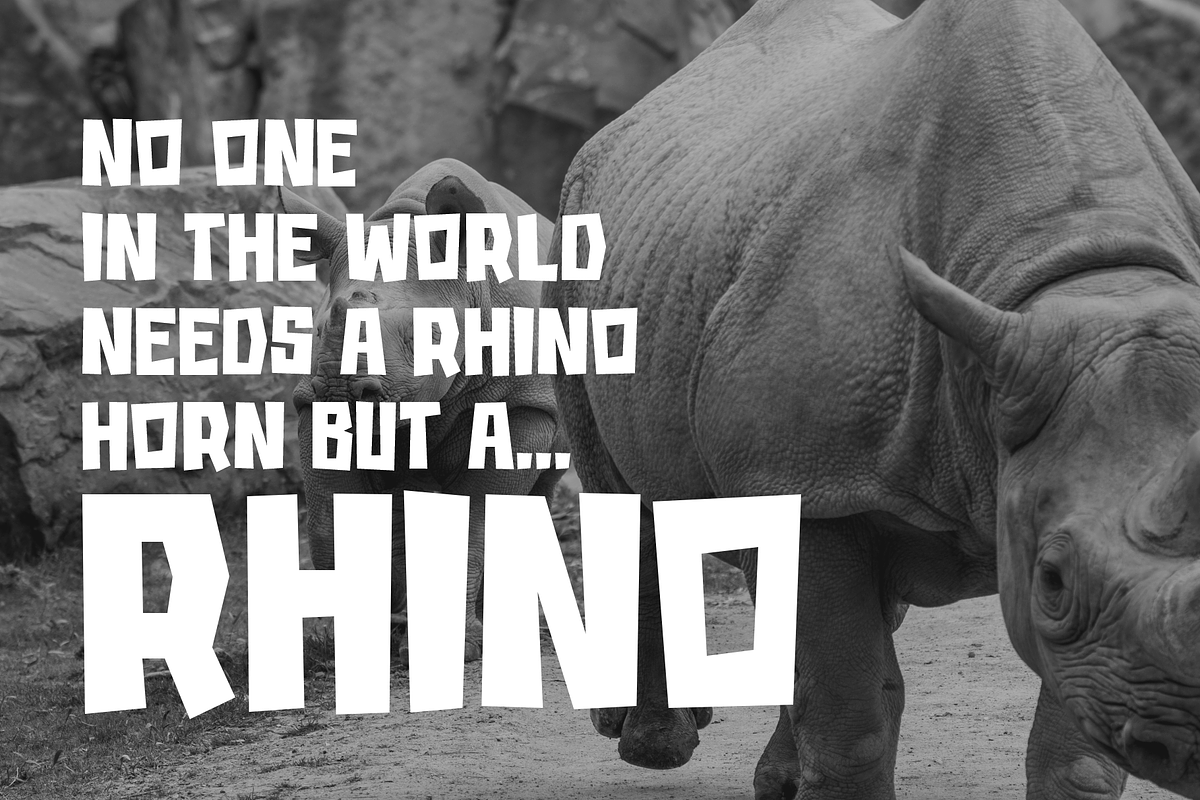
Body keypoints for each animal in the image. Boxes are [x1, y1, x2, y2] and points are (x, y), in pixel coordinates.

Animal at [282, 158, 566, 664]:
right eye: (316, 330)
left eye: (423, 336)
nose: (339, 392)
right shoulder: (311, 403)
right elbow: (328, 520)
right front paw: (351, 647)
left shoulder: (523, 406)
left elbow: (476, 521)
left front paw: (460, 649)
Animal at [544, 0, 1200, 797]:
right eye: (1052, 576)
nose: (1176, 743)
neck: (1074, 266)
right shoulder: (813, 477)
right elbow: (854, 708)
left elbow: (1071, 749)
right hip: (578, 232)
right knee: (628, 496)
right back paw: (655, 747)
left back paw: (776, 779)